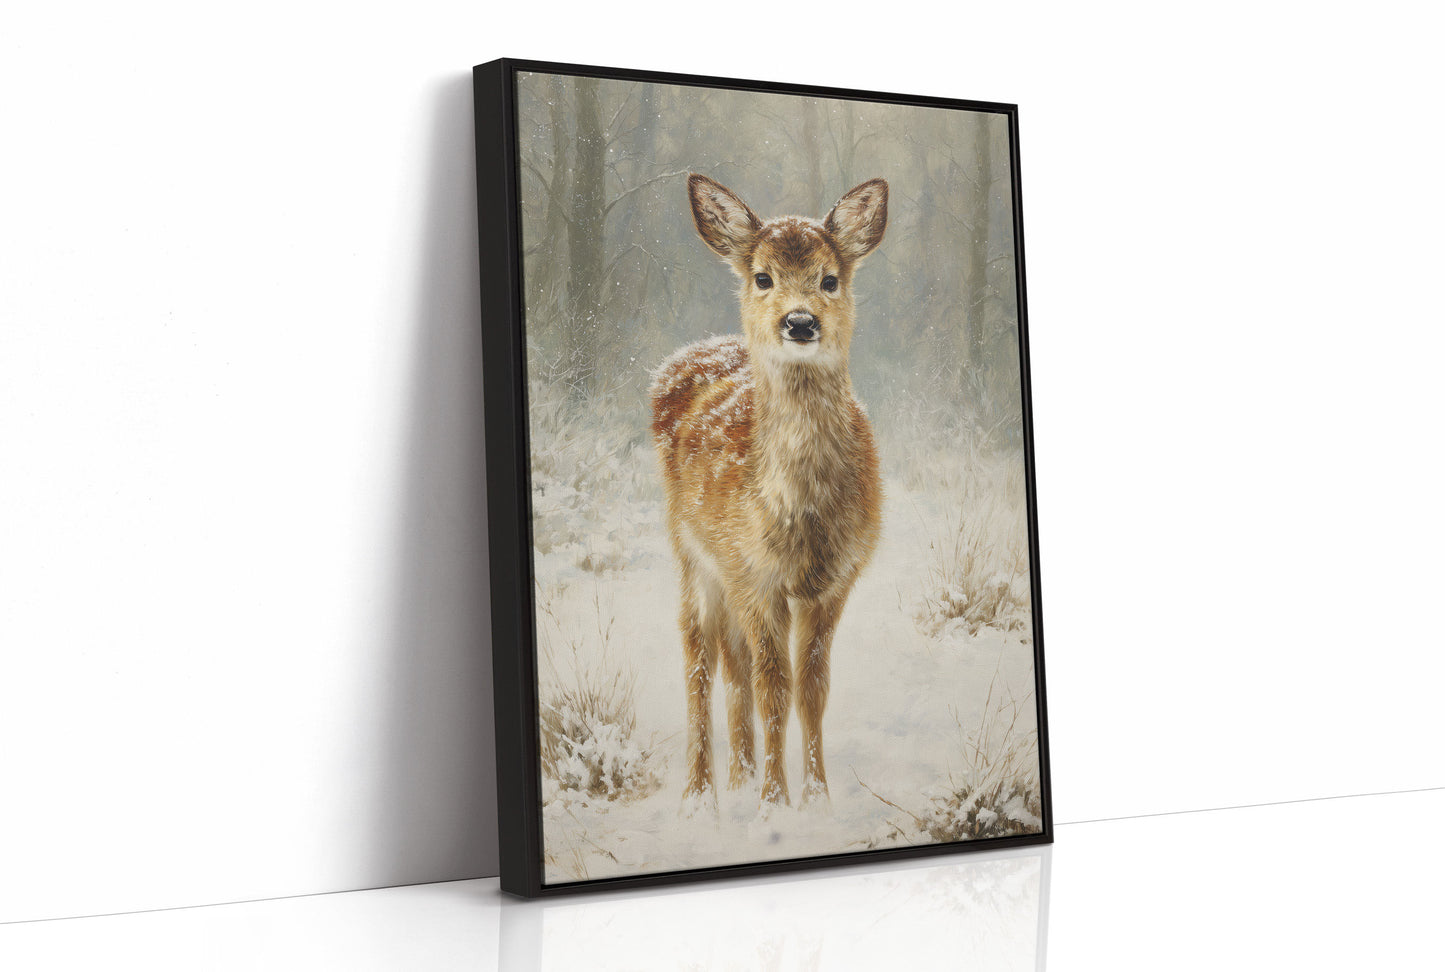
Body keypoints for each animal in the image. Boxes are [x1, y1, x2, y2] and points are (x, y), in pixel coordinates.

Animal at [649, 174, 887, 813]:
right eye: (762, 277)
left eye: (829, 278)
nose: (800, 323)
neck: (798, 513)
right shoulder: (754, 575)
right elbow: (773, 687)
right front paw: (774, 803)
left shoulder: (835, 579)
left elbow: (811, 688)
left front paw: (816, 799)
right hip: (692, 555)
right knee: (700, 660)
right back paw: (701, 794)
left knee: (733, 666)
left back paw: (738, 777)